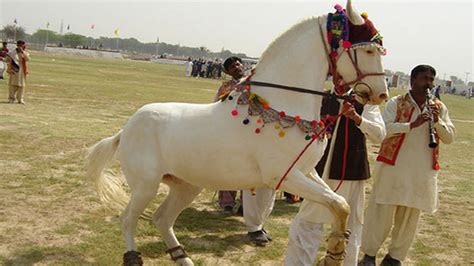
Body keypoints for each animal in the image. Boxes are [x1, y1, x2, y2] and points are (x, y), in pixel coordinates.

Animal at [87, 1, 386, 264]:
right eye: (369, 52)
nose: (381, 94)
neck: (282, 104)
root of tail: (125, 129)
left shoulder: (306, 172)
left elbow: (341, 205)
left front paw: (336, 247)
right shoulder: (284, 176)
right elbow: (338, 203)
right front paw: (334, 252)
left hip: (186, 185)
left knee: (162, 219)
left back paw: (184, 258)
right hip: (146, 185)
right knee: (129, 218)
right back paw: (133, 257)